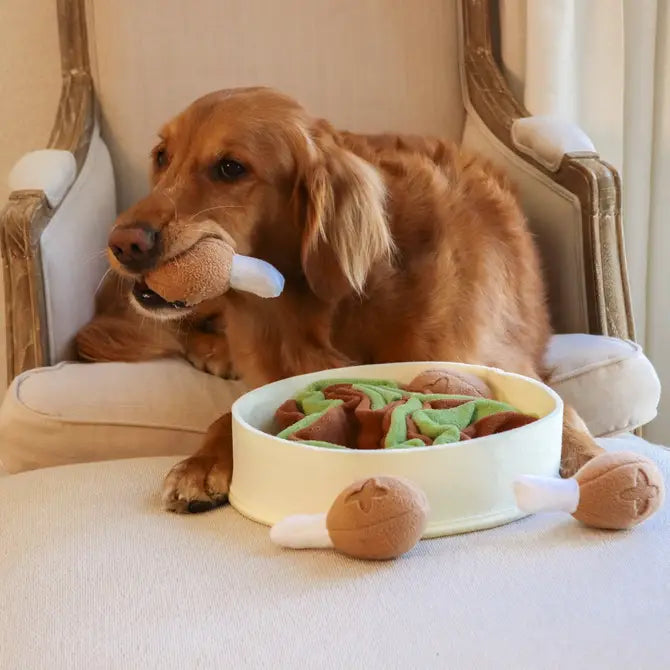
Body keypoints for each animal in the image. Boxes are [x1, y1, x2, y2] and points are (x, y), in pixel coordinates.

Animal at [77, 85, 604, 516]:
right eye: (162, 156)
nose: (122, 244)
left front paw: (586, 457)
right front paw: (202, 462)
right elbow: (228, 414)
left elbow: (565, 416)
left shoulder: (498, 361)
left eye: (230, 167)